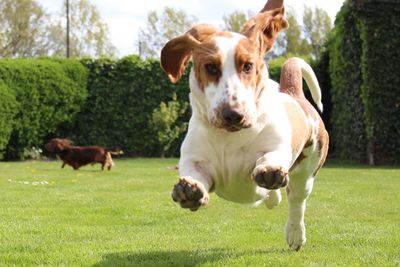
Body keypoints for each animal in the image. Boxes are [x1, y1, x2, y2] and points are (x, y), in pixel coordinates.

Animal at [159, 0, 328, 252]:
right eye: (210, 67)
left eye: (248, 66)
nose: (233, 115)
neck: (228, 137)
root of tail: (293, 94)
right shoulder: (195, 160)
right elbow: (195, 173)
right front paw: (190, 189)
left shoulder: (276, 149)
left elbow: (270, 158)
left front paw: (269, 170)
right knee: (275, 197)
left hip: (307, 172)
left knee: (296, 201)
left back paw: (295, 234)